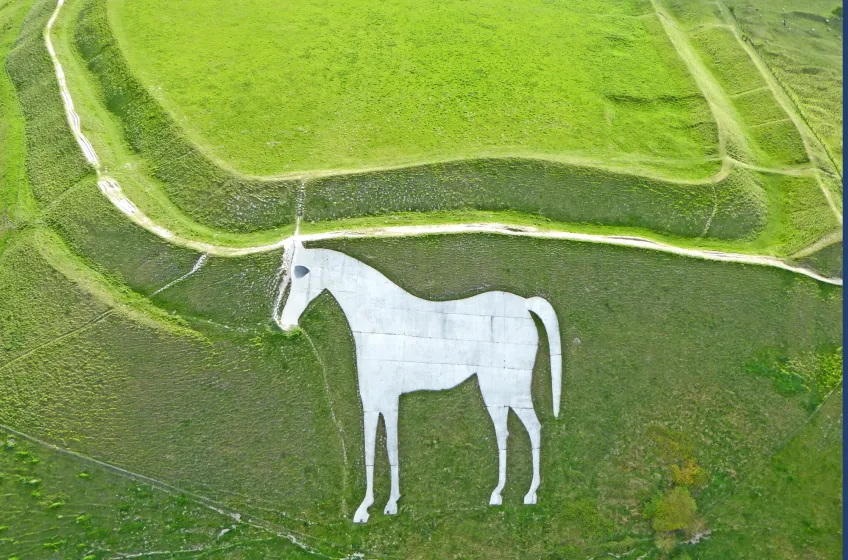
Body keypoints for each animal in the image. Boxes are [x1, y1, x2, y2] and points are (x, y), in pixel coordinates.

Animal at [278, 241, 562, 523]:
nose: (285, 321)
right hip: (495, 392)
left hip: (512, 389)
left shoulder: (389, 400)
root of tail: (524, 305)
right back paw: (497, 495)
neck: (378, 317)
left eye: (301, 273)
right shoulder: (371, 401)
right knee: (504, 432)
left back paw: (530, 495)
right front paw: (365, 508)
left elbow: (390, 448)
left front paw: (389, 504)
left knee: (534, 428)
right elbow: (371, 449)